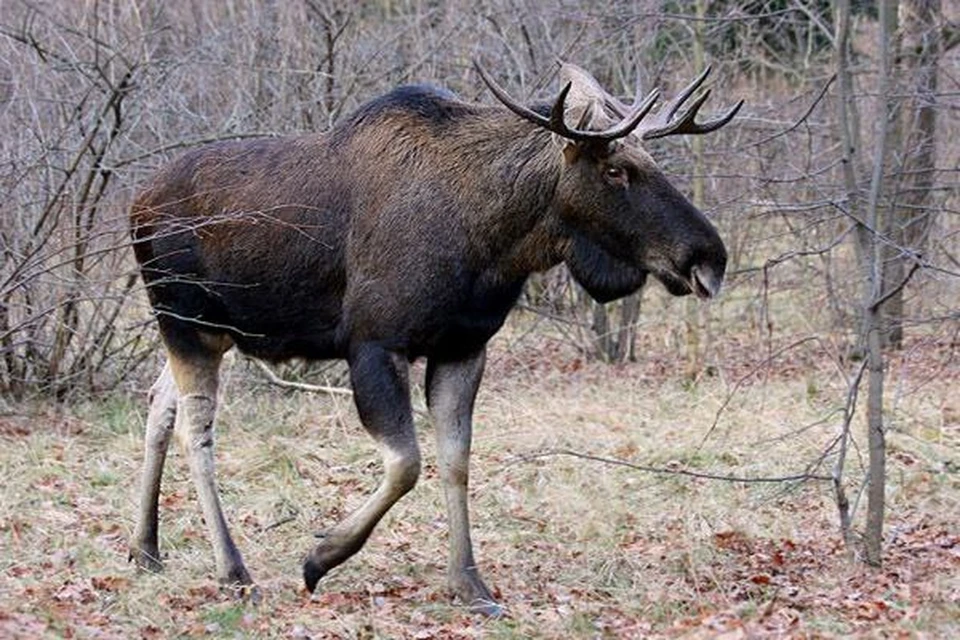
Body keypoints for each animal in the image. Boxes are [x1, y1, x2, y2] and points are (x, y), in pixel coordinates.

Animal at [127, 61, 744, 616]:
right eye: (616, 170)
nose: (709, 258)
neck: (494, 242)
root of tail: (135, 205)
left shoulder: (463, 346)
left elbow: (456, 460)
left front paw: (470, 585)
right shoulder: (374, 343)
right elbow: (406, 463)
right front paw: (322, 556)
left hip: (211, 334)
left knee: (159, 404)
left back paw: (146, 548)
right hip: (184, 323)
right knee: (196, 432)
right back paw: (234, 572)